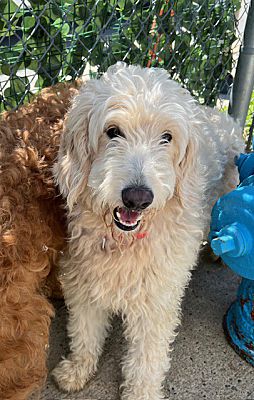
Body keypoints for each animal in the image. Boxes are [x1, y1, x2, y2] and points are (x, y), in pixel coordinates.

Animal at [52, 62, 244, 400]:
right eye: (112, 131)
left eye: (167, 137)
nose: (137, 198)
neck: (125, 243)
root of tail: (225, 118)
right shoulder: (84, 282)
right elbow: (85, 332)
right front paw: (78, 369)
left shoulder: (156, 302)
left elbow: (146, 359)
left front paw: (140, 392)